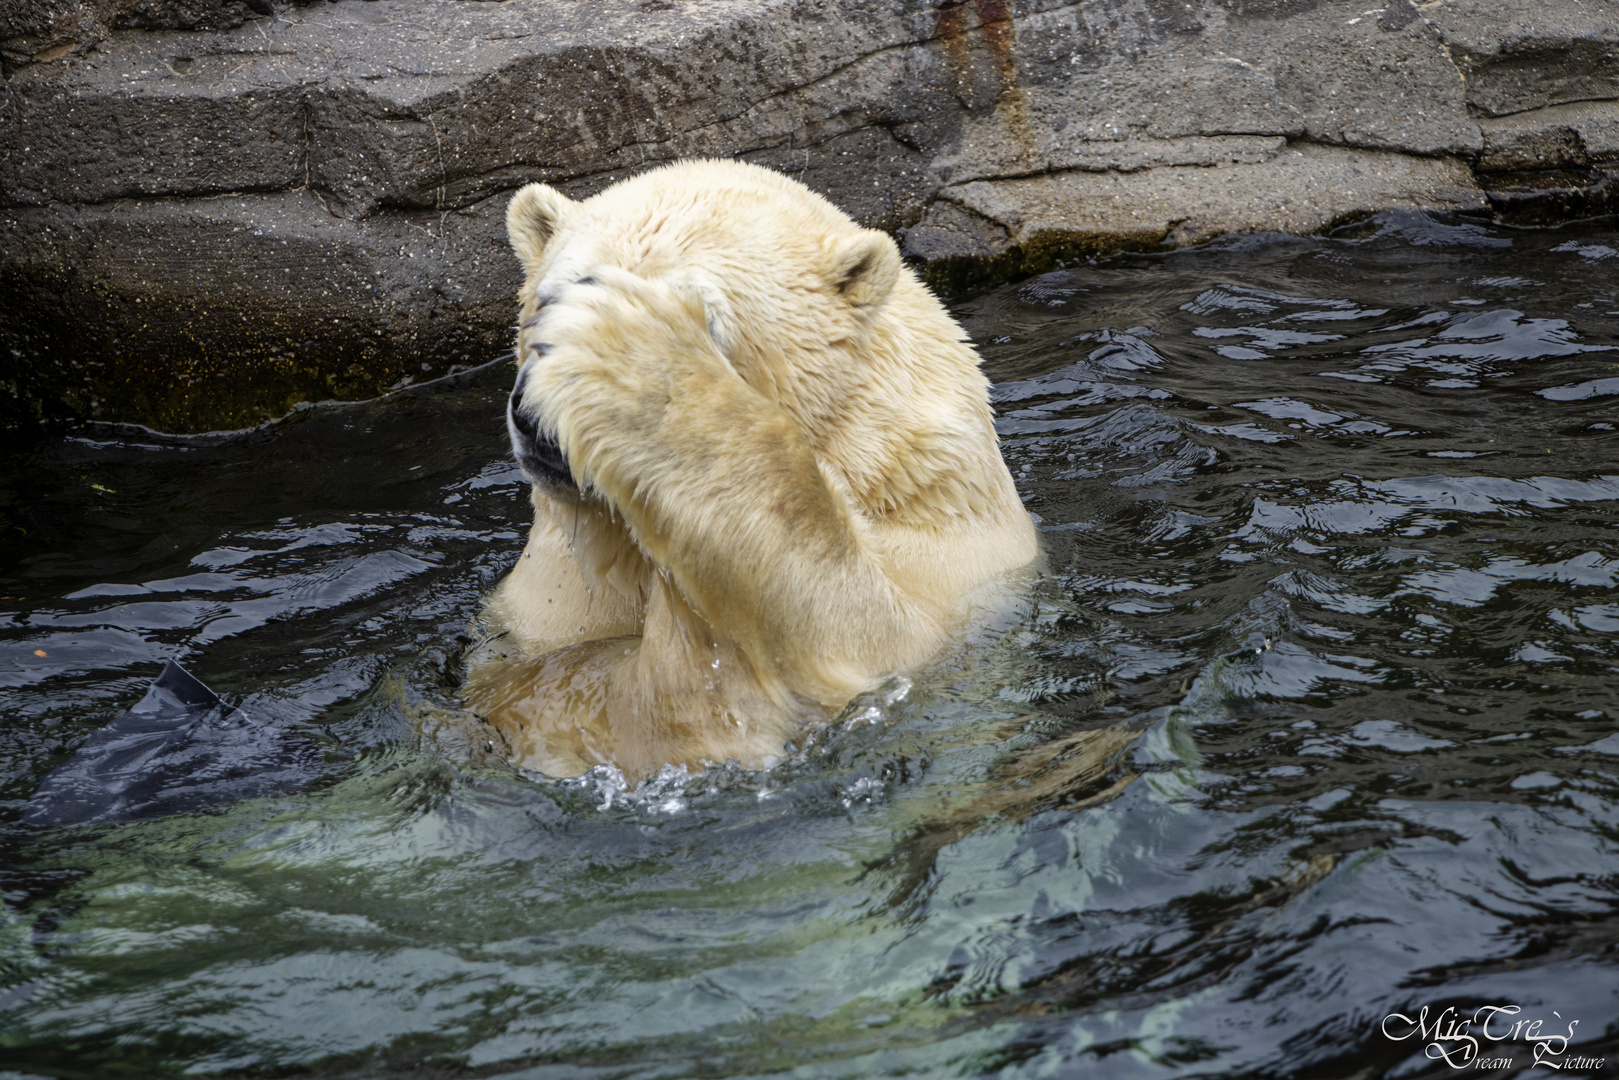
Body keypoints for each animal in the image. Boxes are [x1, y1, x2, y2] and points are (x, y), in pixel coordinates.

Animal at [463, 160, 1036, 780]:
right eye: (546, 303)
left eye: (703, 320)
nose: (535, 421)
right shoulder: (550, 601)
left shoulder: (956, 560)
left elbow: (857, 630)